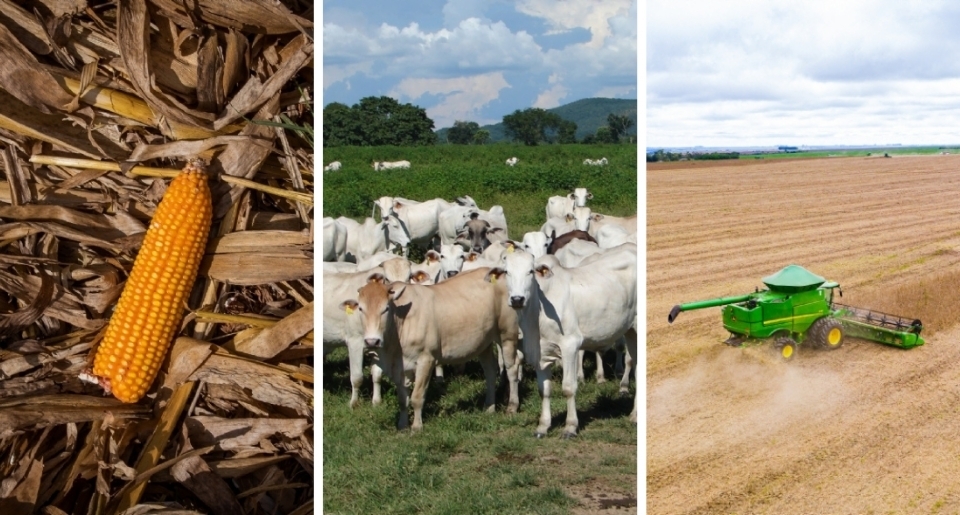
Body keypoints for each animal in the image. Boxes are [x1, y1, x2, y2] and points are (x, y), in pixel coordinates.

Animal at [502, 245, 636, 436]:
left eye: (530, 271)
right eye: (506, 272)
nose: (517, 299)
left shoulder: (569, 346)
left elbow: (568, 388)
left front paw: (570, 426)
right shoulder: (540, 353)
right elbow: (544, 390)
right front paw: (543, 426)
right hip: (630, 331)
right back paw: (635, 414)